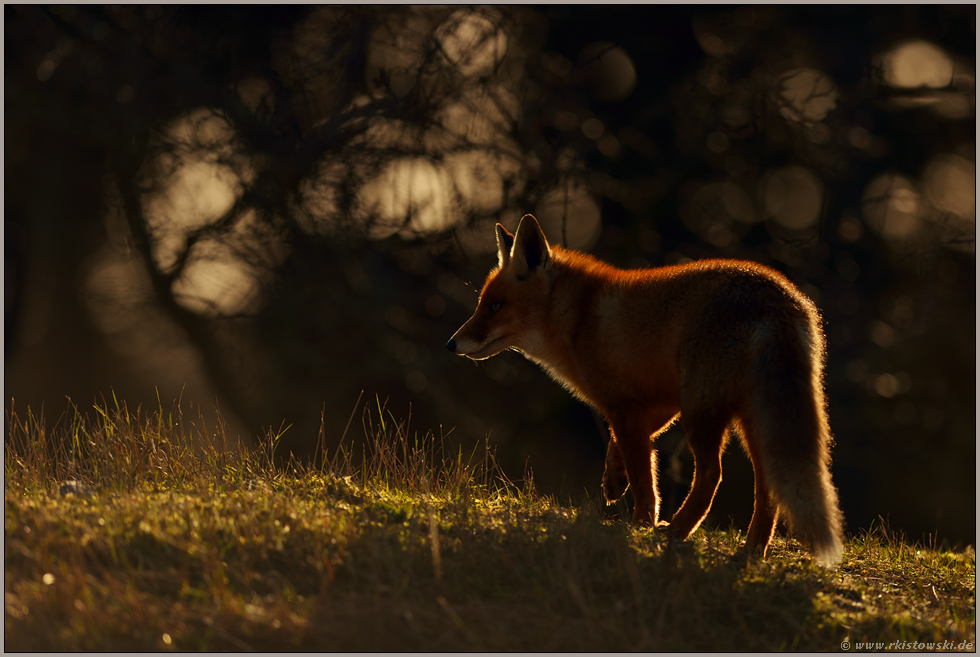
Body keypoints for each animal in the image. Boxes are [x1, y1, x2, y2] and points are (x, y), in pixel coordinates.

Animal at [448, 214, 848, 564]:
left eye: (495, 306)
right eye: (482, 304)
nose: (451, 344)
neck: (578, 318)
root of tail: (778, 301)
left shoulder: (626, 406)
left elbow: (644, 478)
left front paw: (640, 523)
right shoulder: (656, 403)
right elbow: (624, 451)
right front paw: (613, 481)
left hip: (702, 412)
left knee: (712, 476)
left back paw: (677, 531)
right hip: (750, 420)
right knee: (767, 490)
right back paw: (751, 552)